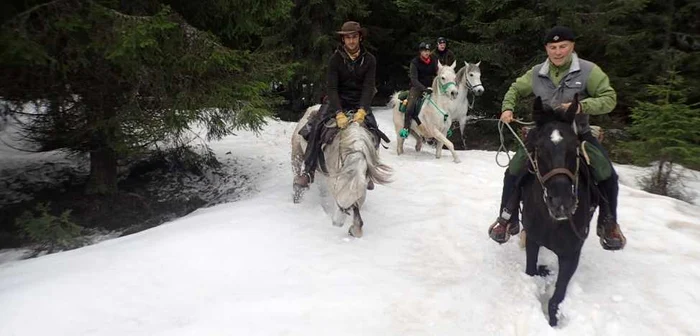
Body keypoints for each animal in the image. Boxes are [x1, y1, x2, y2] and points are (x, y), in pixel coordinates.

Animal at [288, 106, 392, 238]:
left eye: (350, 204)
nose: (336, 223)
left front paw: (355, 229)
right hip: (297, 153)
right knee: (298, 175)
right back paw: (298, 192)